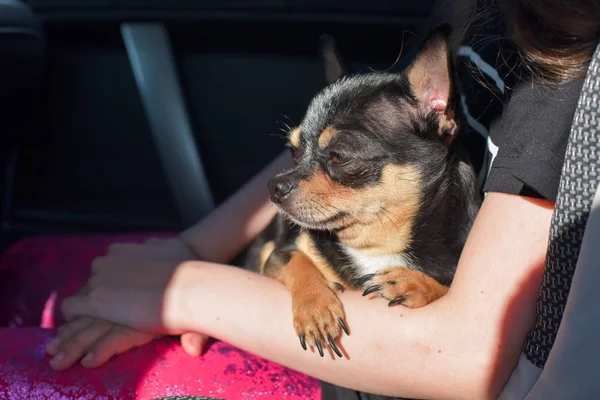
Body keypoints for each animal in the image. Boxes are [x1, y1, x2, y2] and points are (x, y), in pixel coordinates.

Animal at [246, 25, 480, 356]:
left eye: (339, 156)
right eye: (293, 151)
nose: (274, 186)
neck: (377, 242)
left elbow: (447, 287)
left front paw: (416, 283)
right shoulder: (275, 253)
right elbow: (296, 260)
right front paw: (315, 309)